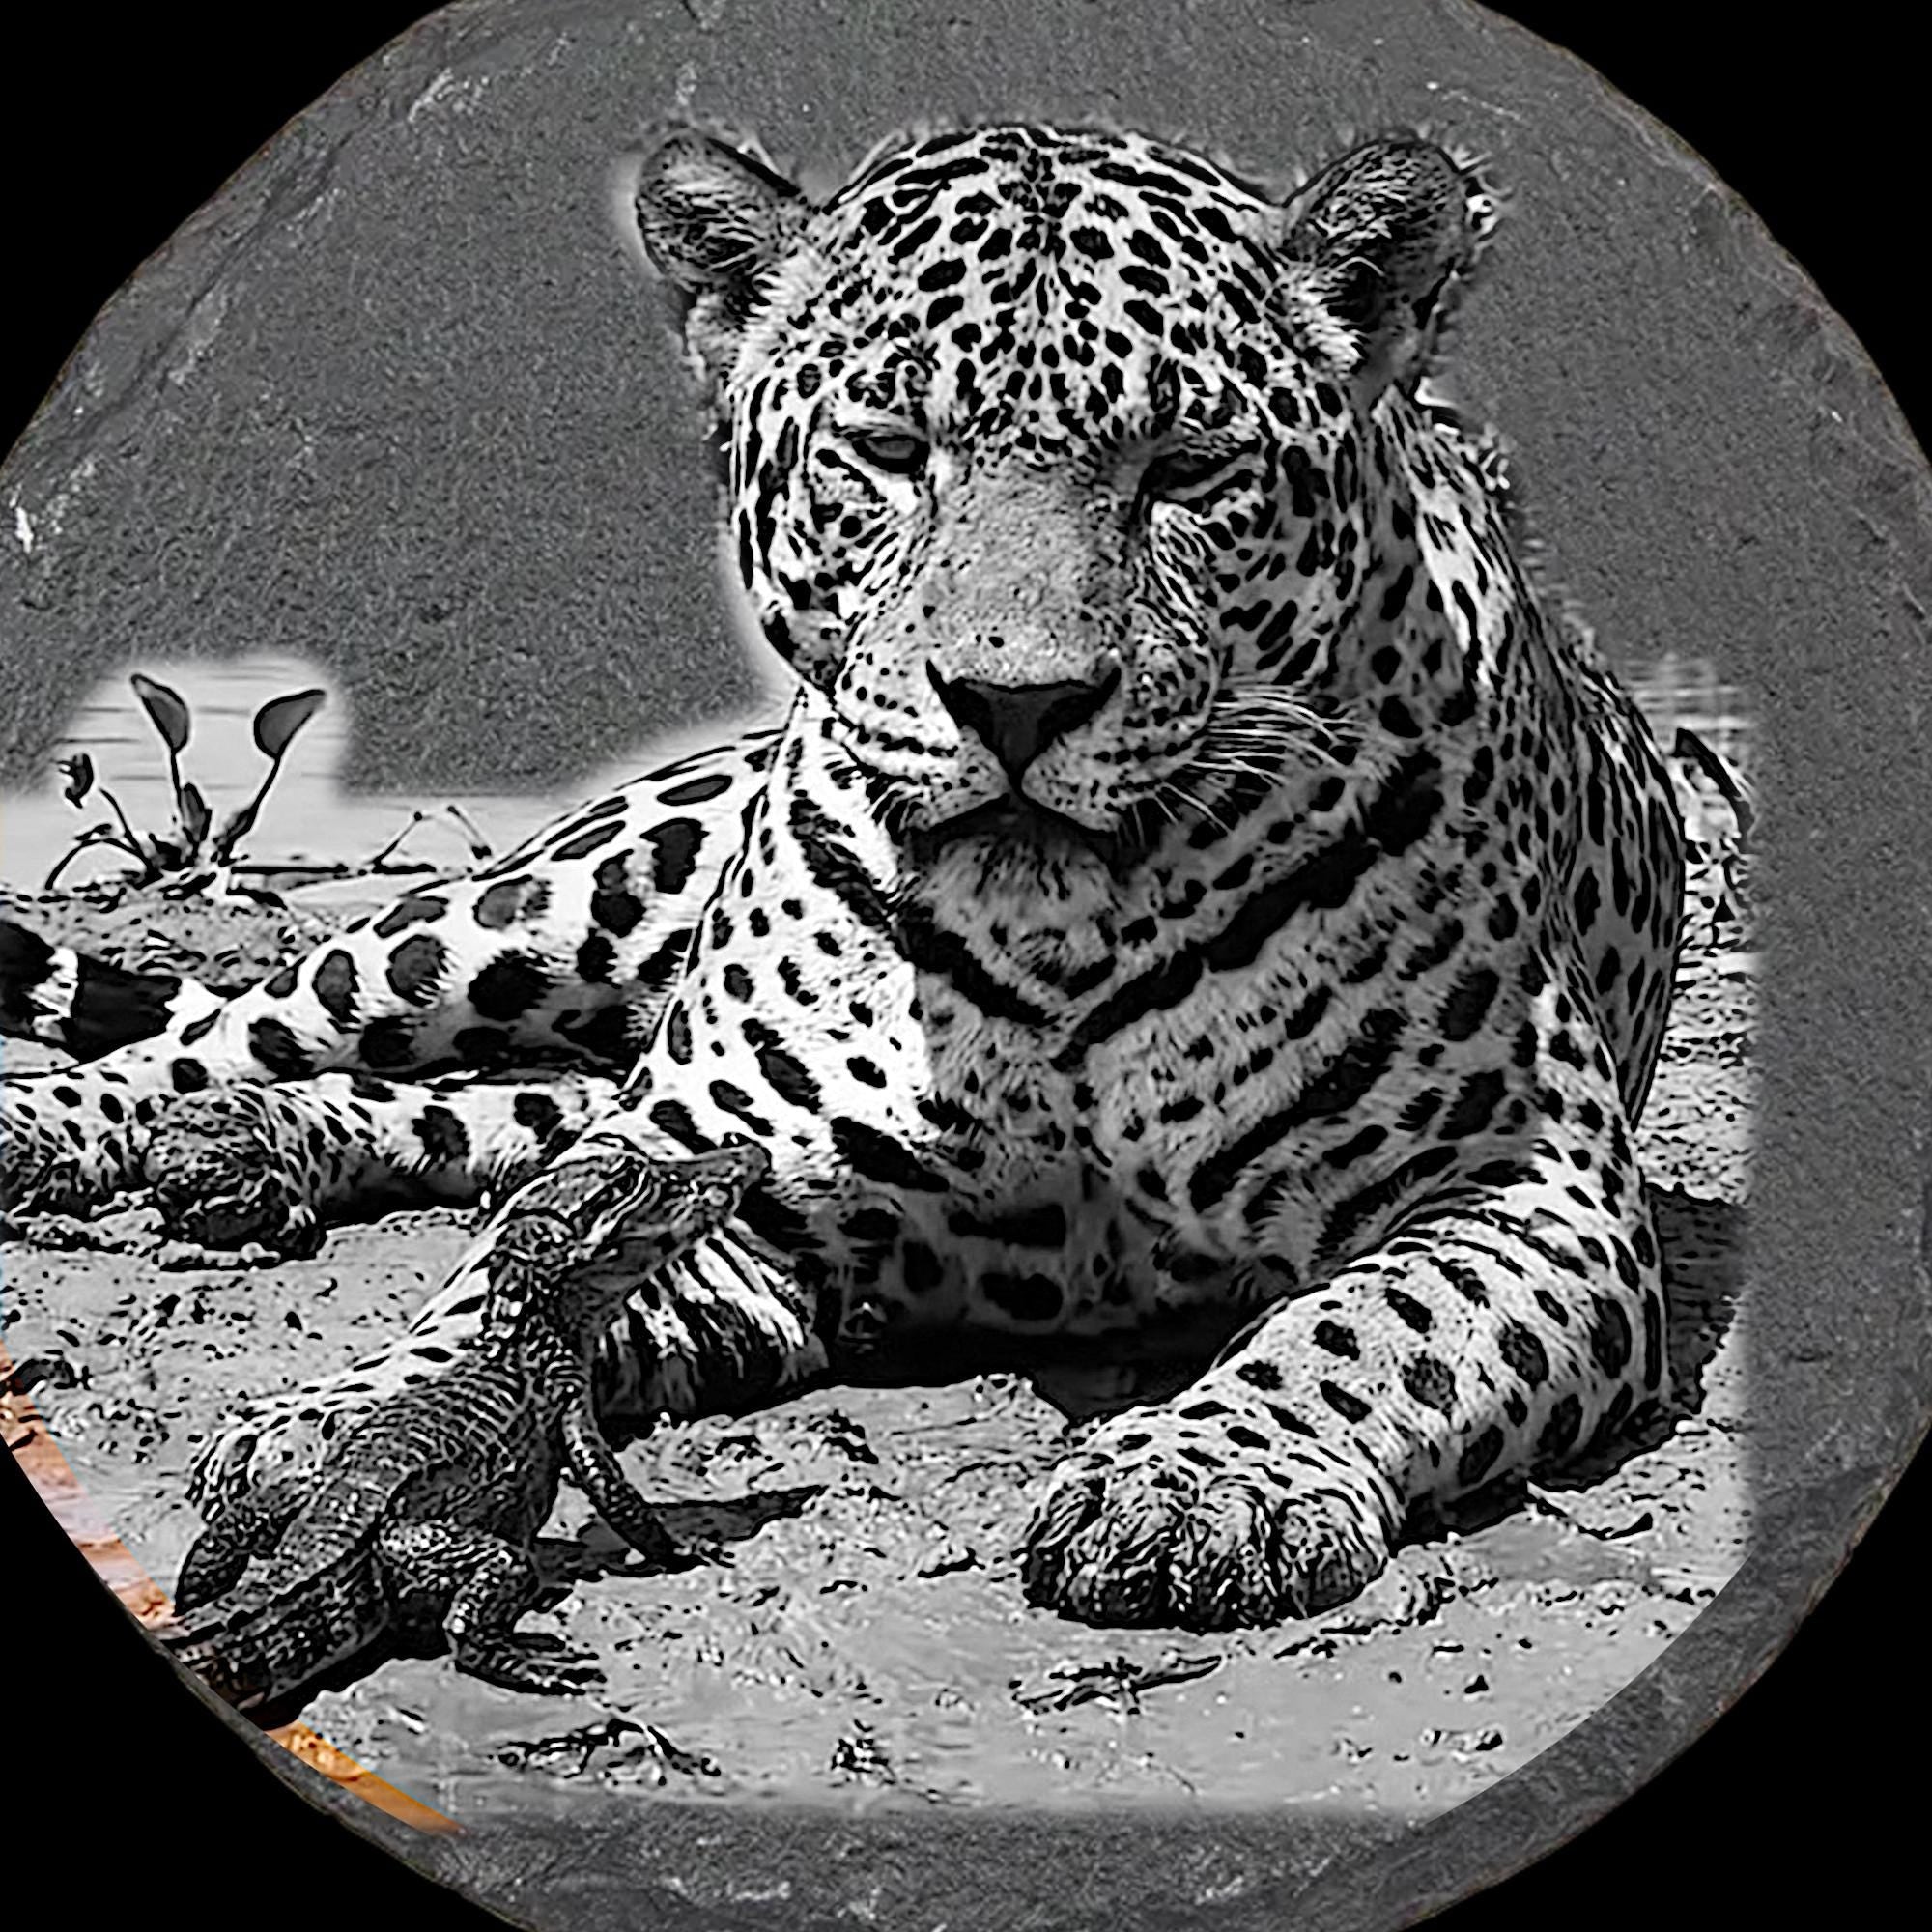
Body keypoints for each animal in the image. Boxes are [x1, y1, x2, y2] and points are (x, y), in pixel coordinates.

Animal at [0, 117, 1692, 1632]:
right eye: (890, 454)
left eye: (1187, 468)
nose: (1019, 702)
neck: (1063, 935)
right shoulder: (732, 1179)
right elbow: (502, 1284)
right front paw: (362, 1425)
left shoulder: (1524, 1191)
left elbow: (1358, 1326)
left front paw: (1201, 1479)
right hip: (556, 905)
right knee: (255, 1026)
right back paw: (90, 1129)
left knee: (503, 1113)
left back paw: (251, 1148)